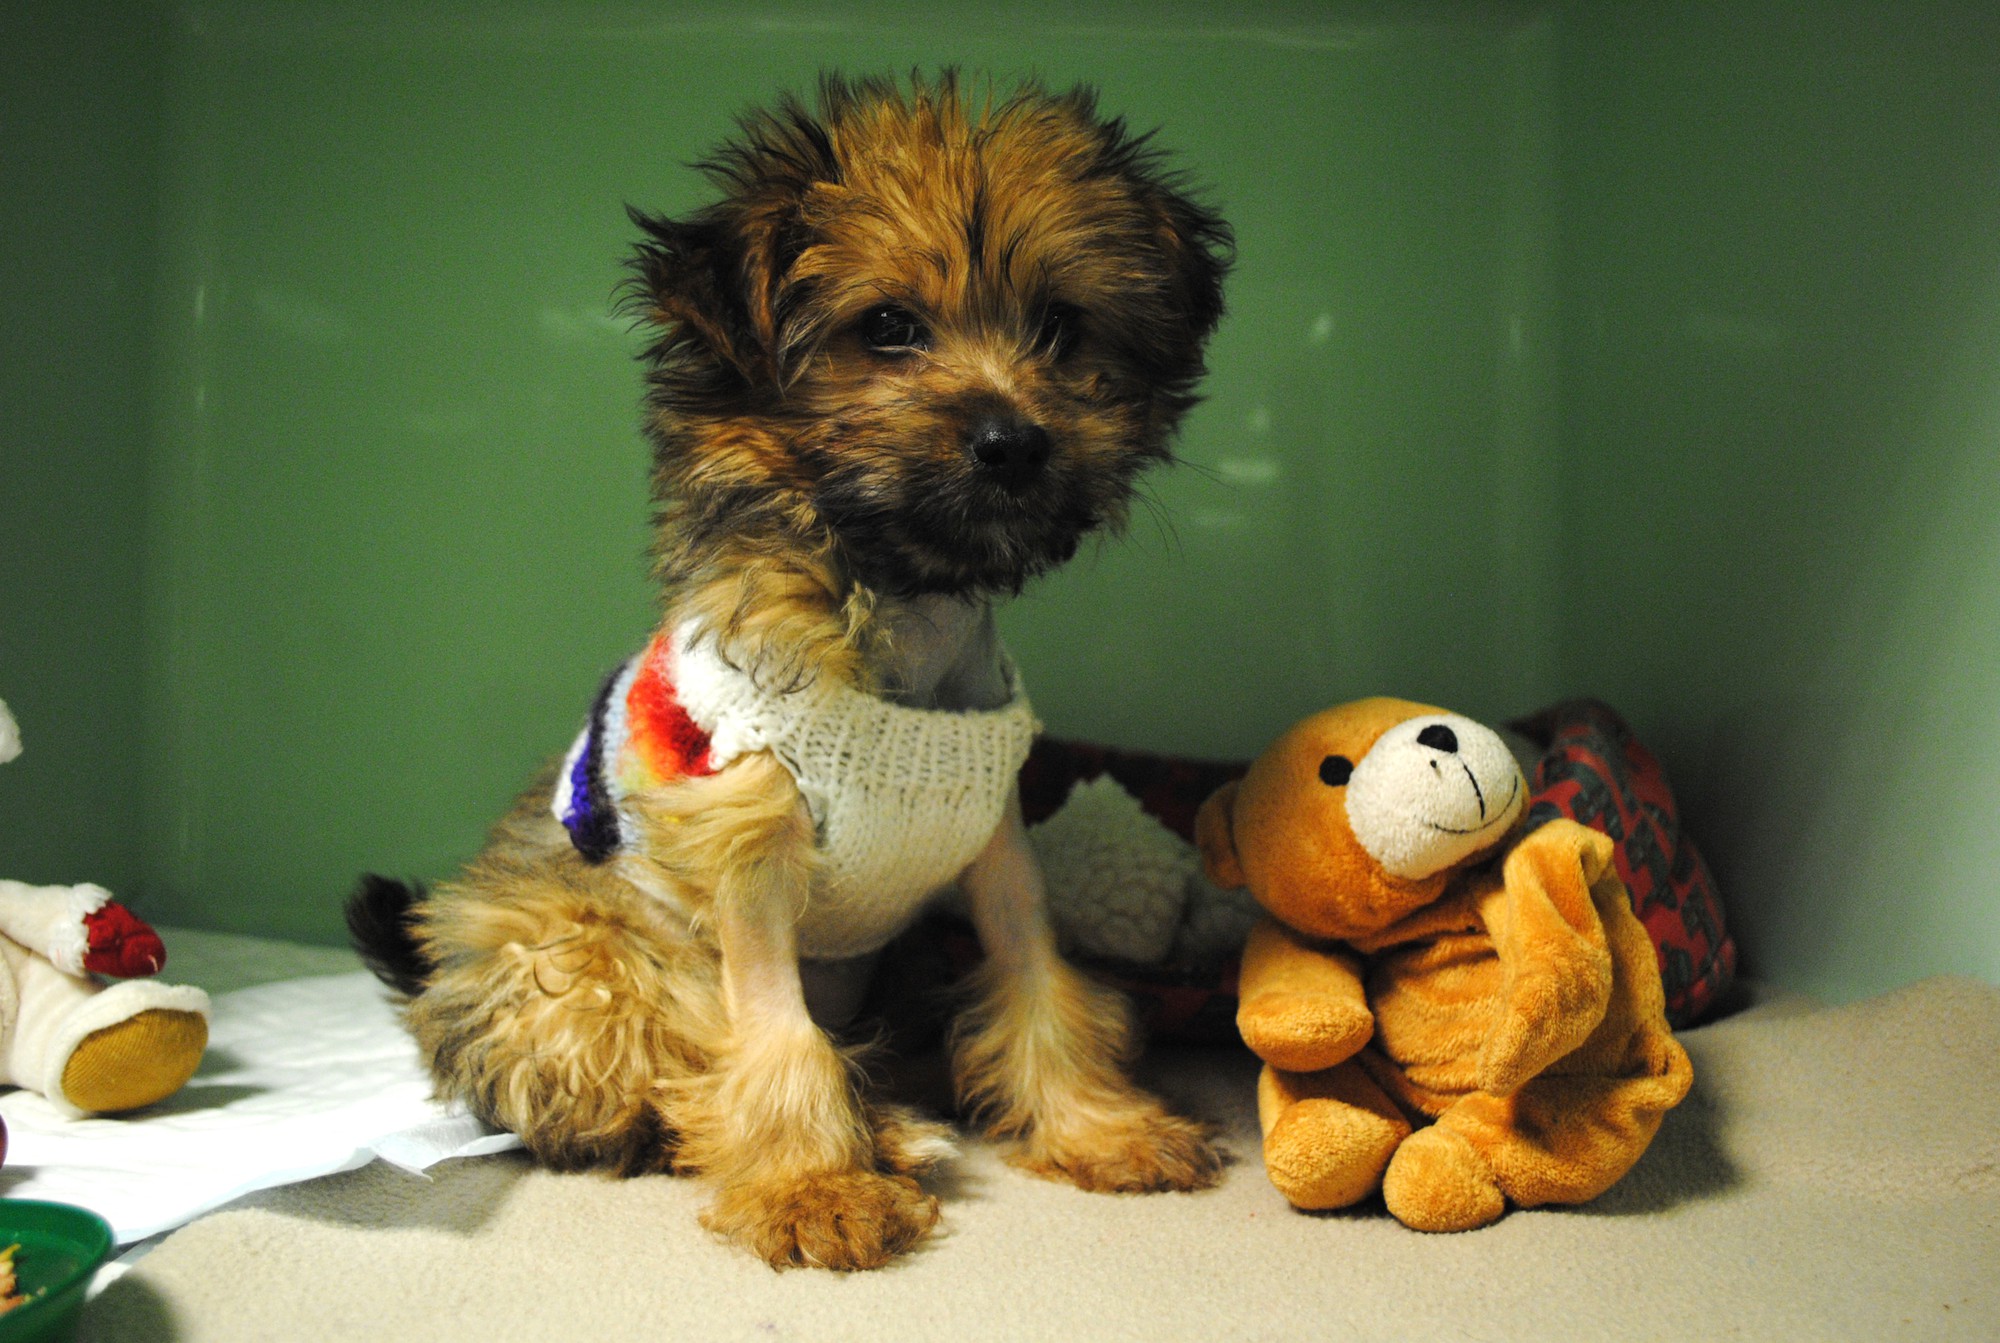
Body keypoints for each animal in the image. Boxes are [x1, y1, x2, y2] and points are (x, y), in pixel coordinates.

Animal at [352, 73, 1232, 1271]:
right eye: (889, 328)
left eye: (1060, 326)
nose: (1013, 441)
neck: (897, 611)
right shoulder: (749, 852)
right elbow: (773, 1036)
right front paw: (813, 1185)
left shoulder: (993, 847)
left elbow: (1037, 981)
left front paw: (1099, 1126)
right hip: (574, 956)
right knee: (644, 1082)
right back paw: (862, 1137)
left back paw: (895, 1125)